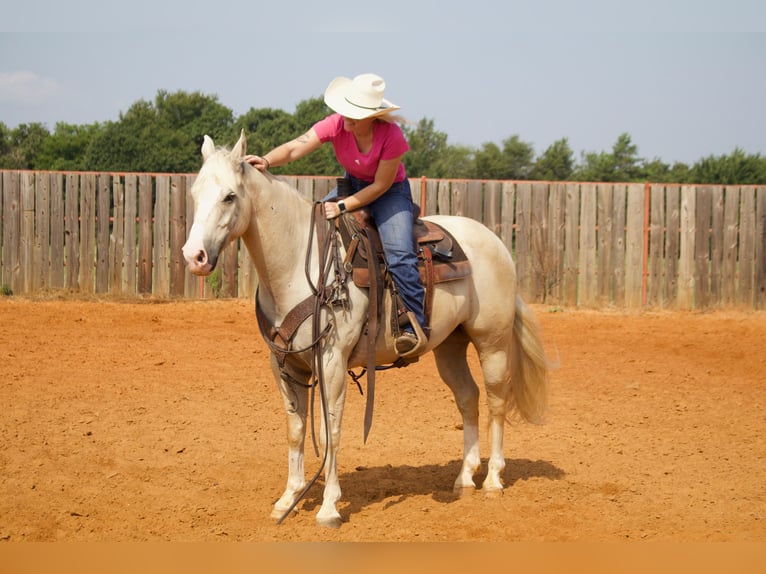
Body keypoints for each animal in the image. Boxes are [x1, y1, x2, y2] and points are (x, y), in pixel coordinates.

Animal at [183, 132, 548, 532]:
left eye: (230, 196)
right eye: (195, 193)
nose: (194, 256)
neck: (297, 265)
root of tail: (495, 241)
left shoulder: (331, 363)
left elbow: (330, 431)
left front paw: (328, 507)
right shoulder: (284, 364)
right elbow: (296, 430)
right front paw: (288, 499)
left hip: (492, 342)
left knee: (497, 400)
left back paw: (493, 479)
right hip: (450, 345)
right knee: (468, 397)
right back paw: (465, 477)